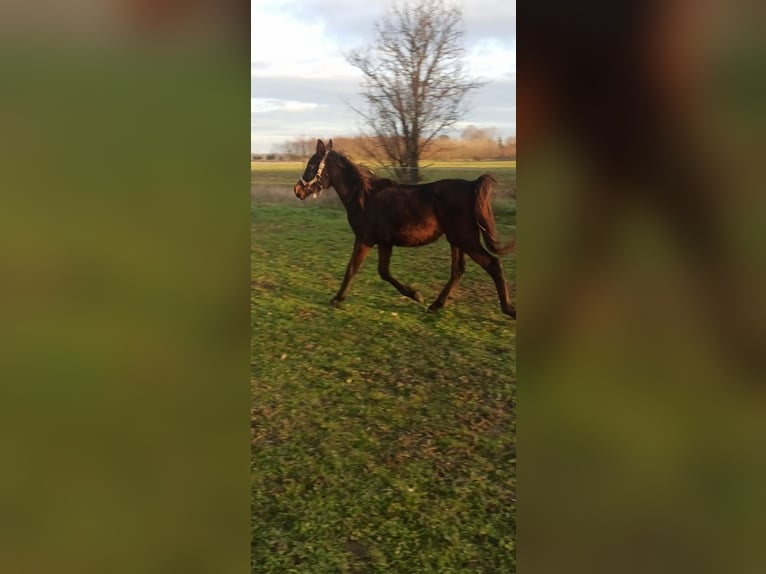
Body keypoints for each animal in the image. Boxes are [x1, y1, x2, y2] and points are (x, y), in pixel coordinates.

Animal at [294, 140, 516, 320]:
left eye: (312, 165)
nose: (297, 190)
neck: (364, 197)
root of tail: (471, 186)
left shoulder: (365, 239)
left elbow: (352, 268)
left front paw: (337, 299)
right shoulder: (384, 243)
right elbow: (383, 272)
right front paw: (416, 294)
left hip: (466, 239)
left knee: (493, 264)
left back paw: (509, 309)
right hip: (456, 240)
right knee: (458, 270)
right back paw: (435, 305)